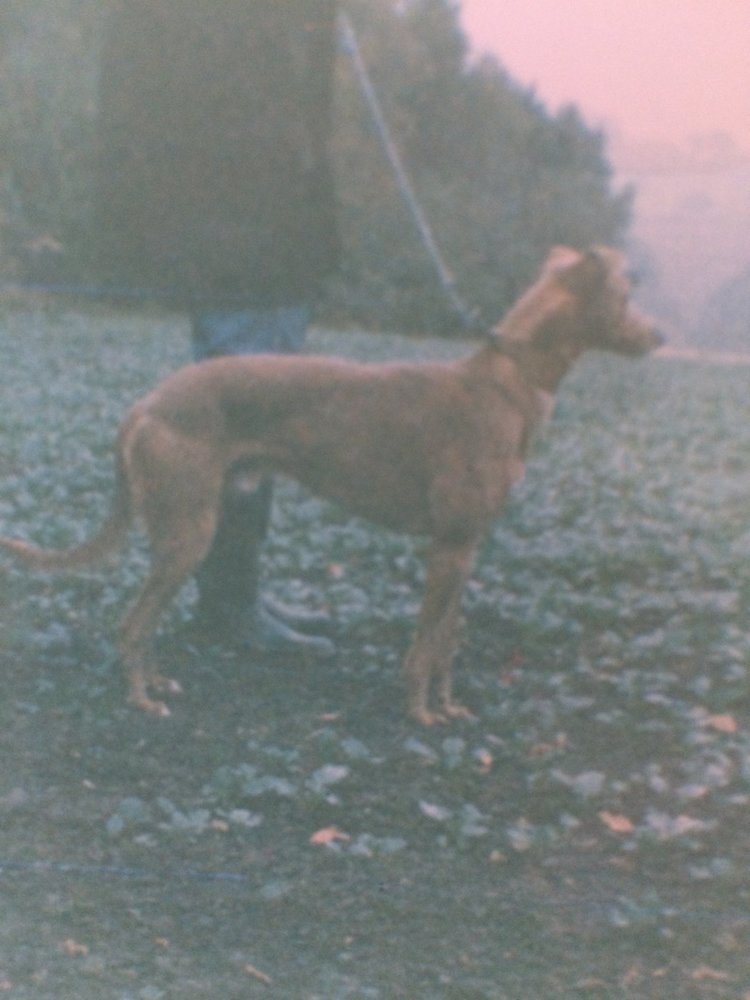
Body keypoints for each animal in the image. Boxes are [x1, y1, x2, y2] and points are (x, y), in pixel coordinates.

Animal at [0, 246, 662, 723]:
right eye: (627, 295)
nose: (661, 337)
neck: (506, 380)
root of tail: (146, 404)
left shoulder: (466, 547)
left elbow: (448, 639)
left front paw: (448, 706)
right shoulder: (449, 547)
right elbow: (425, 645)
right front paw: (421, 713)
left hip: (192, 525)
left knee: (146, 622)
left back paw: (158, 680)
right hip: (188, 532)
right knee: (131, 624)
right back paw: (141, 699)